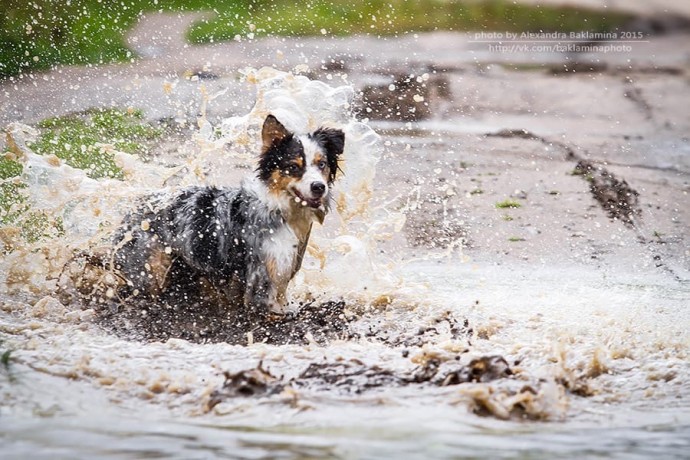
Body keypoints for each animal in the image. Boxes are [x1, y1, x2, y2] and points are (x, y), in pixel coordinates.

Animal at [108, 113, 344, 318]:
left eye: (321, 164)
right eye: (293, 167)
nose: (319, 187)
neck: (281, 210)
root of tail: (132, 209)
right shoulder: (262, 276)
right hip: (150, 267)